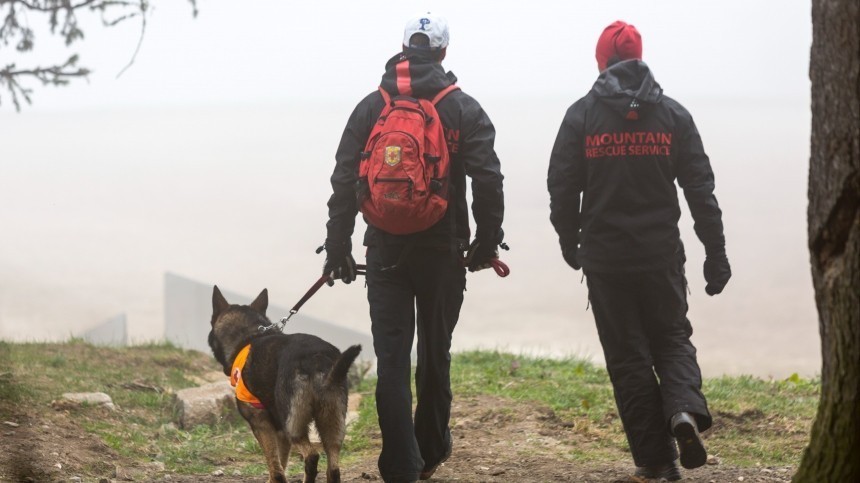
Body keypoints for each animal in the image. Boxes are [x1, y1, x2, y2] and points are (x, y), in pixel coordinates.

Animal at [209, 288, 362, 483]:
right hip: (331, 423)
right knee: (333, 468)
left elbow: (276, 469)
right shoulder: (280, 432)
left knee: (312, 455)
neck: (250, 335)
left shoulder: (261, 423)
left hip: (294, 424)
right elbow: (280, 463)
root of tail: (317, 357)